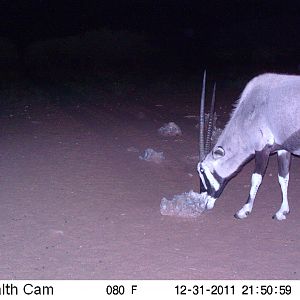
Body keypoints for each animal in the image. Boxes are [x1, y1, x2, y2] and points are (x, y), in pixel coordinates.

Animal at [197, 71, 300, 219]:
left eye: (203, 171)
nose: (202, 202)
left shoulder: (262, 149)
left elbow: (256, 178)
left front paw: (244, 210)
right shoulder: (283, 149)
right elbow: (283, 177)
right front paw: (282, 211)